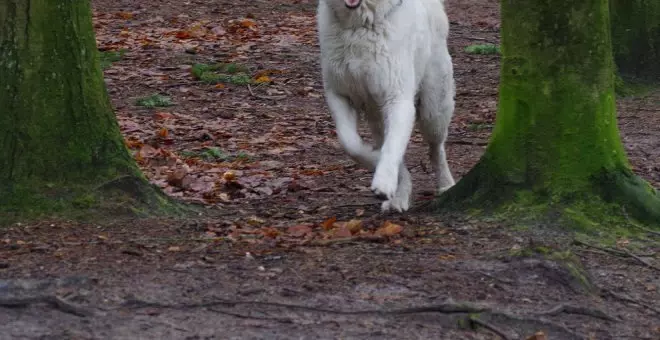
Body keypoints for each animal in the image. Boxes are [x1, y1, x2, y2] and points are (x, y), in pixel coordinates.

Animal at [318, 0, 456, 212]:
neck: (360, 25)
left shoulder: (397, 99)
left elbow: (392, 148)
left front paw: (383, 182)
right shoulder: (339, 95)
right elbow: (351, 144)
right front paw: (375, 160)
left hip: (433, 111)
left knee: (436, 149)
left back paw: (446, 185)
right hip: (379, 118)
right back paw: (399, 196)